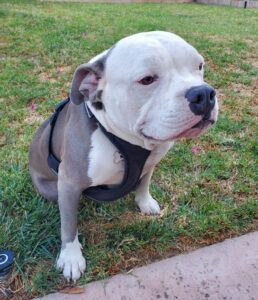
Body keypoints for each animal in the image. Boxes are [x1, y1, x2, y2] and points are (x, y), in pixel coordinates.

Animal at [29, 32, 219, 282]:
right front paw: (70, 257)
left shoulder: (151, 161)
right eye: (147, 80)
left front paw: (145, 202)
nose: (204, 94)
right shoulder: (69, 181)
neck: (128, 140)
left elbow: (144, 183)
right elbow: (68, 223)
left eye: (199, 66)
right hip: (51, 189)